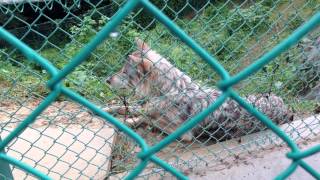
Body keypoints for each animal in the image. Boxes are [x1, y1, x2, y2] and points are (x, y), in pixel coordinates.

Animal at [106, 38, 294, 142]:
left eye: (124, 72)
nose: (107, 80)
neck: (172, 90)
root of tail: (286, 108)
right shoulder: (148, 106)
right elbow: (130, 108)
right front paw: (107, 110)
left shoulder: (184, 134)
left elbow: (144, 118)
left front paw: (124, 123)